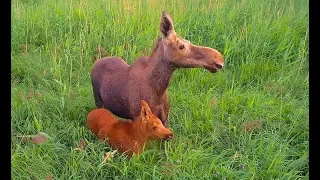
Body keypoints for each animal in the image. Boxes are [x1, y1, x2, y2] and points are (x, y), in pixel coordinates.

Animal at [91, 11, 224, 126]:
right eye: (181, 46)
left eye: (188, 41)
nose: (219, 59)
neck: (158, 90)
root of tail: (95, 63)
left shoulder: (165, 119)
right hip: (98, 101)